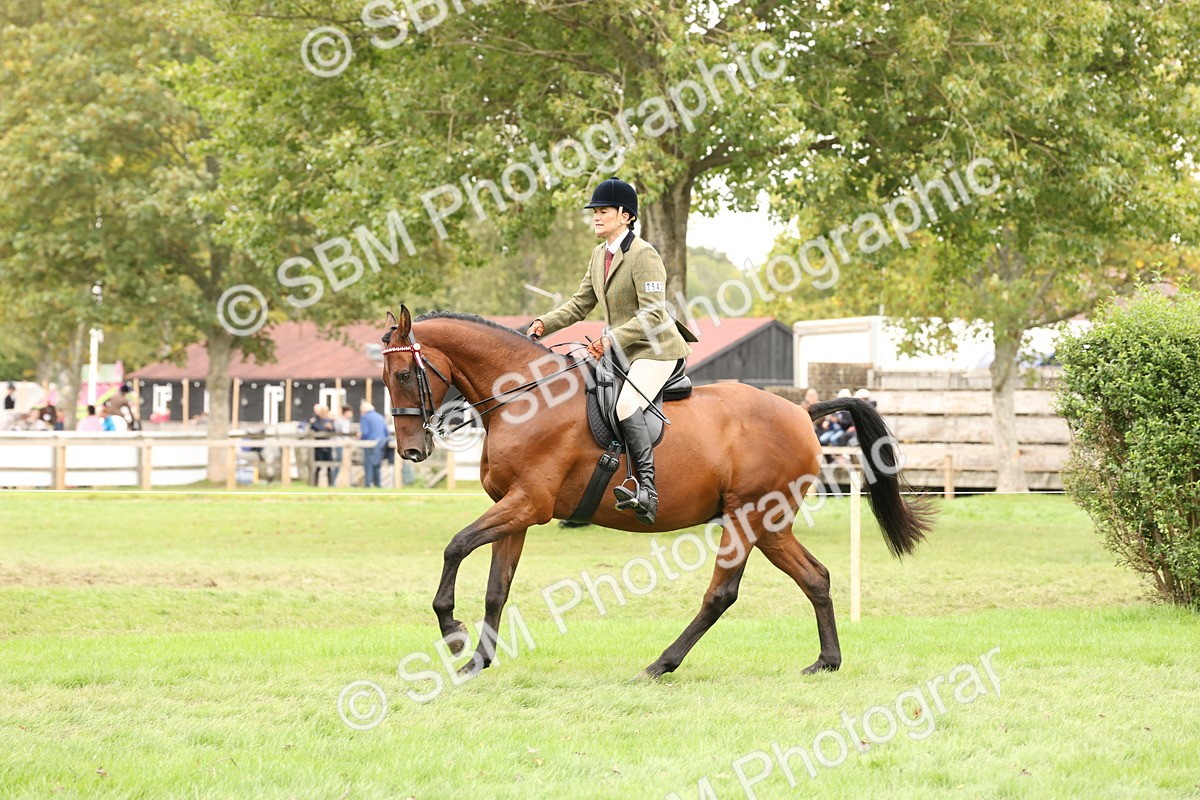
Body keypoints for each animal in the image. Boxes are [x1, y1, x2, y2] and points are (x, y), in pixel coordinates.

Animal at [380, 306, 935, 679]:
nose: (411, 451)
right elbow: (498, 587)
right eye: (385, 379)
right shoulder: (513, 511)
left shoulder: (528, 505)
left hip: (746, 518)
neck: (526, 399)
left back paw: (660, 664)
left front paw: (453, 635)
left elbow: (455, 546)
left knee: (721, 594)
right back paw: (826, 661)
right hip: (771, 524)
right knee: (815, 578)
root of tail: (802, 411)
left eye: (404, 374)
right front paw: (478, 659)